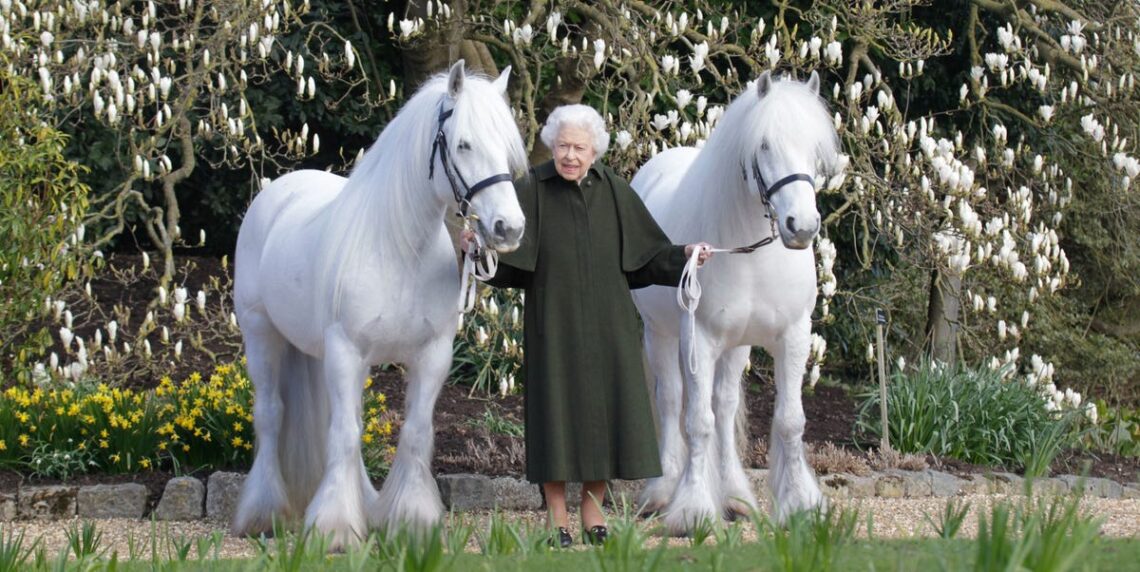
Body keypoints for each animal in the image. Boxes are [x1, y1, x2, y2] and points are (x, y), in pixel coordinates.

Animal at [230, 60, 527, 549]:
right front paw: (334, 528)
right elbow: (345, 436)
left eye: (506, 148)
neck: (399, 249)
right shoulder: (346, 351)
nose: (509, 228)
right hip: (262, 335)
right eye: (463, 144)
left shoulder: (431, 356)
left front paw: (411, 520)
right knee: (271, 415)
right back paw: (263, 513)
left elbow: (414, 433)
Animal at [630, 71, 841, 534]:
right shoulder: (700, 339)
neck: (751, 253)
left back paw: (734, 496)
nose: (802, 226)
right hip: (661, 335)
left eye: (815, 149)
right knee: (672, 401)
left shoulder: (793, 336)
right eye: (764, 146)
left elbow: (788, 421)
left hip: (737, 346)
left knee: (724, 407)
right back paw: (662, 491)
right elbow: (696, 422)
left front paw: (800, 504)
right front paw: (692, 510)